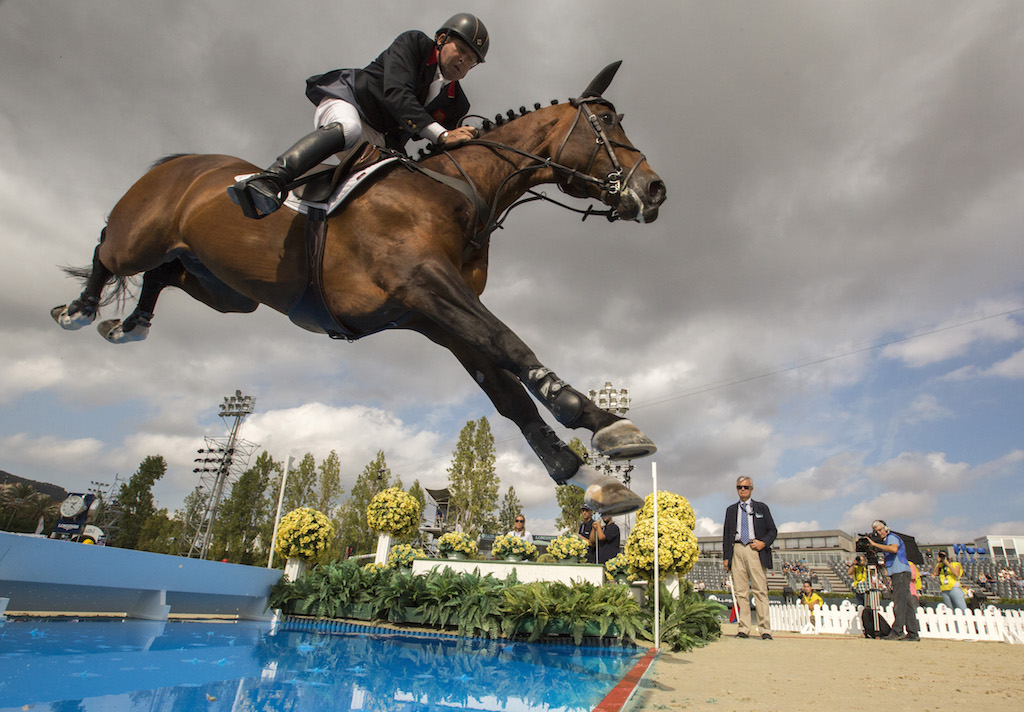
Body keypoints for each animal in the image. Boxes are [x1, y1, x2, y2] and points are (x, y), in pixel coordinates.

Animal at [51, 64, 667, 514]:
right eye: (607, 121)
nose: (656, 189)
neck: (457, 192)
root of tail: (181, 163)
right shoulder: (425, 285)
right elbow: (509, 343)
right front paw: (606, 424)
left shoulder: (435, 318)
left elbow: (508, 392)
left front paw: (588, 475)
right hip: (143, 237)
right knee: (109, 253)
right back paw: (80, 310)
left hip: (223, 288)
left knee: (163, 275)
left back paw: (131, 325)